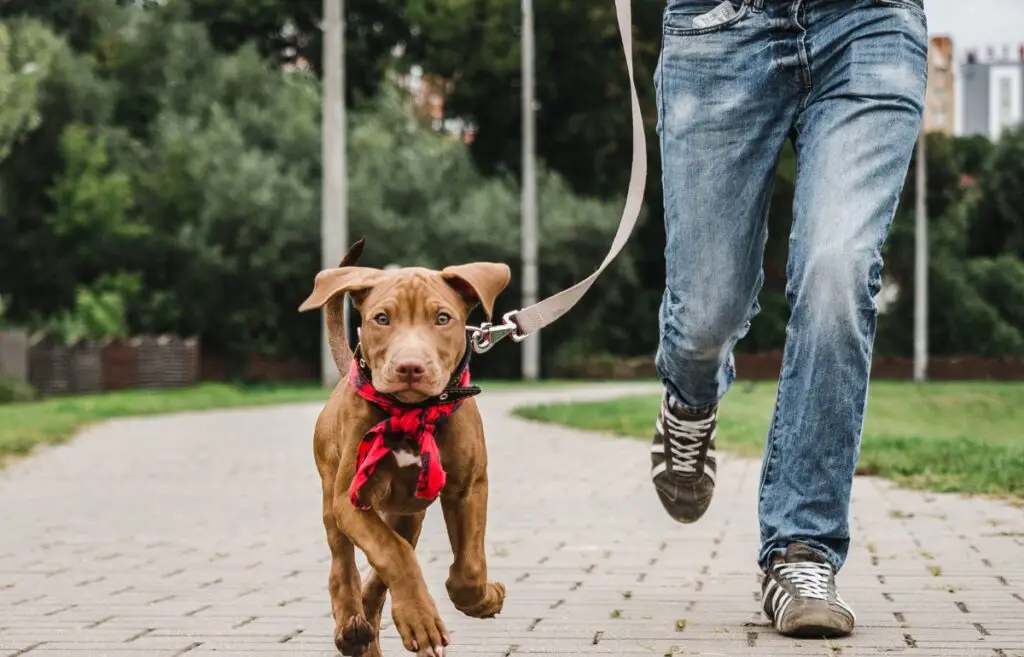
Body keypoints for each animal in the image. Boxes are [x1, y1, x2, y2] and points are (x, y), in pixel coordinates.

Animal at [299, 241, 512, 654]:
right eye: (382, 319)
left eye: (443, 318)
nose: (410, 367)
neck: (413, 412)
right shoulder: (352, 499)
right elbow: (392, 553)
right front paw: (420, 620)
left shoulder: (468, 488)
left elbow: (468, 567)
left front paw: (484, 598)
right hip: (332, 493)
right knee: (344, 563)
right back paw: (351, 625)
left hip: (408, 512)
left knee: (384, 569)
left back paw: (365, 627)